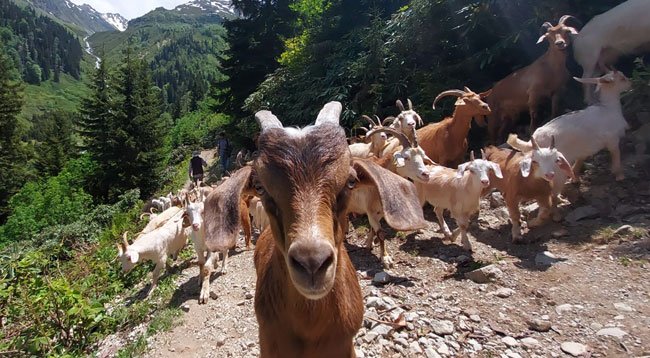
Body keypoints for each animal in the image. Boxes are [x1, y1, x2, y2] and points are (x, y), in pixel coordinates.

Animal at [480, 15, 576, 144]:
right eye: (548, 36)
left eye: (566, 31)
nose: (559, 43)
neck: (552, 69)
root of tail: (490, 93)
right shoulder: (533, 95)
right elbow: (534, 118)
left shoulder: (557, 91)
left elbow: (554, 111)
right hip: (493, 114)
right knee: (492, 134)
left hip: (510, 116)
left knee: (501, 132)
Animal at [508, 69, 632, 200]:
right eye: (622, 78)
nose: (631, 83)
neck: (608, 109)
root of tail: (532, 142)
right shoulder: (612, 140)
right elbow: (616, 155)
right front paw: (620, 176)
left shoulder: (584, 149)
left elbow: (578, 163)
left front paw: (575, 179)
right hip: (556, 169)